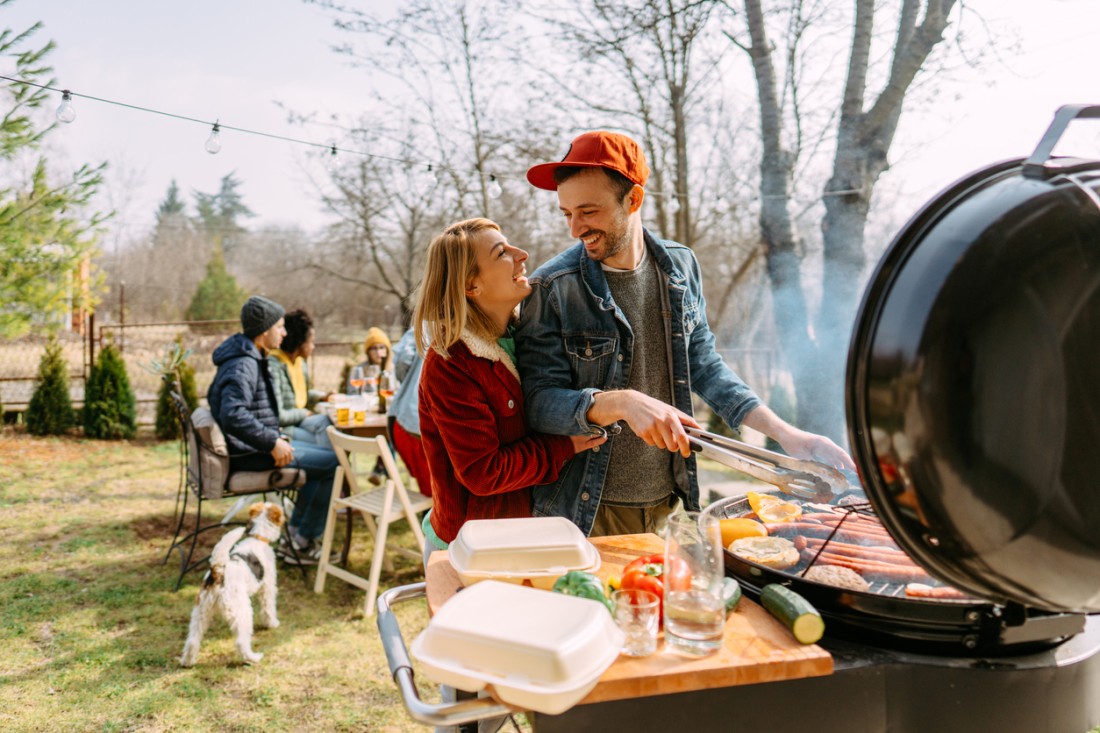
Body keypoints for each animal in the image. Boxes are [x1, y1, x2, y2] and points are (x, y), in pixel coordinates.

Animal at [179, 499, 283, 664]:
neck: (257, 537)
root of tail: (218, 571)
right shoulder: (268, 587)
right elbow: (269, 609)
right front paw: (272, 623)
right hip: (243, 612)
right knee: (241, 641)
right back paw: (252, 658)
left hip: (200, 611)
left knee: (192, 641)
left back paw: (187, 662)